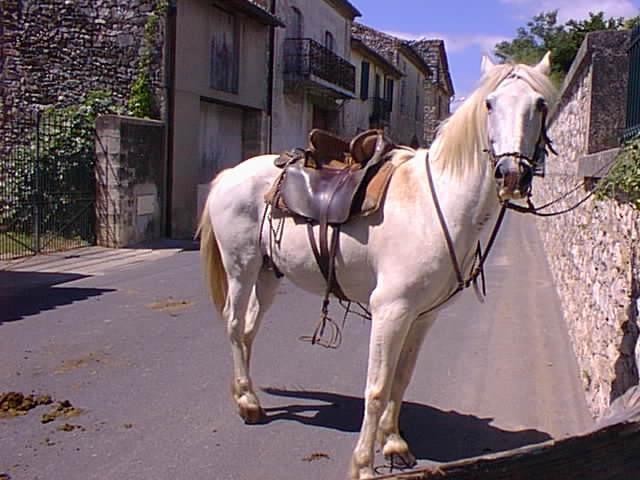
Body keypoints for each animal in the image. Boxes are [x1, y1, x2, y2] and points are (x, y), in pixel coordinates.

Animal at [199, 54, 556, 478]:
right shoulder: (391, 311)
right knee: (234, 324)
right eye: (489, 104)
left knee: (249, 330)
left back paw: (247, 393)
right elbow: (377, 387)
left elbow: (401, 379)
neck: (435, 205)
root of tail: (228, 175)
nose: (512, 175)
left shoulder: (423, 316)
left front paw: (395, 444)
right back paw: (248, 405)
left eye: (540, 104)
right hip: (242, 268)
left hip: (270, 273)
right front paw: (364, 465)